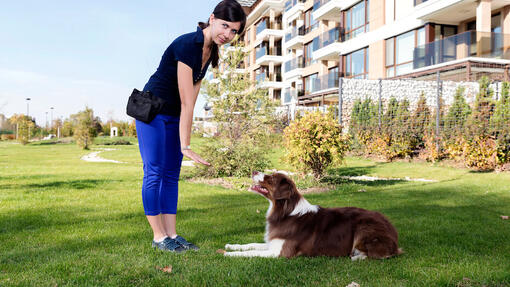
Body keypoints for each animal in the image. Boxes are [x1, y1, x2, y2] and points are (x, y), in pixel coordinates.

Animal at [223, 172, 402, 262]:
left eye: (271, 178)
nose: (253, 171)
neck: (284, 212)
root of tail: (393, 232)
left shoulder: (281, 252)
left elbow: (251, 252)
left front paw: (229, 254)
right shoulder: (273, 243)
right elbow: (251, 245)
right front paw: (232, 246)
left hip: (363, 227)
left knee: (379, 254)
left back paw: (357, 257)